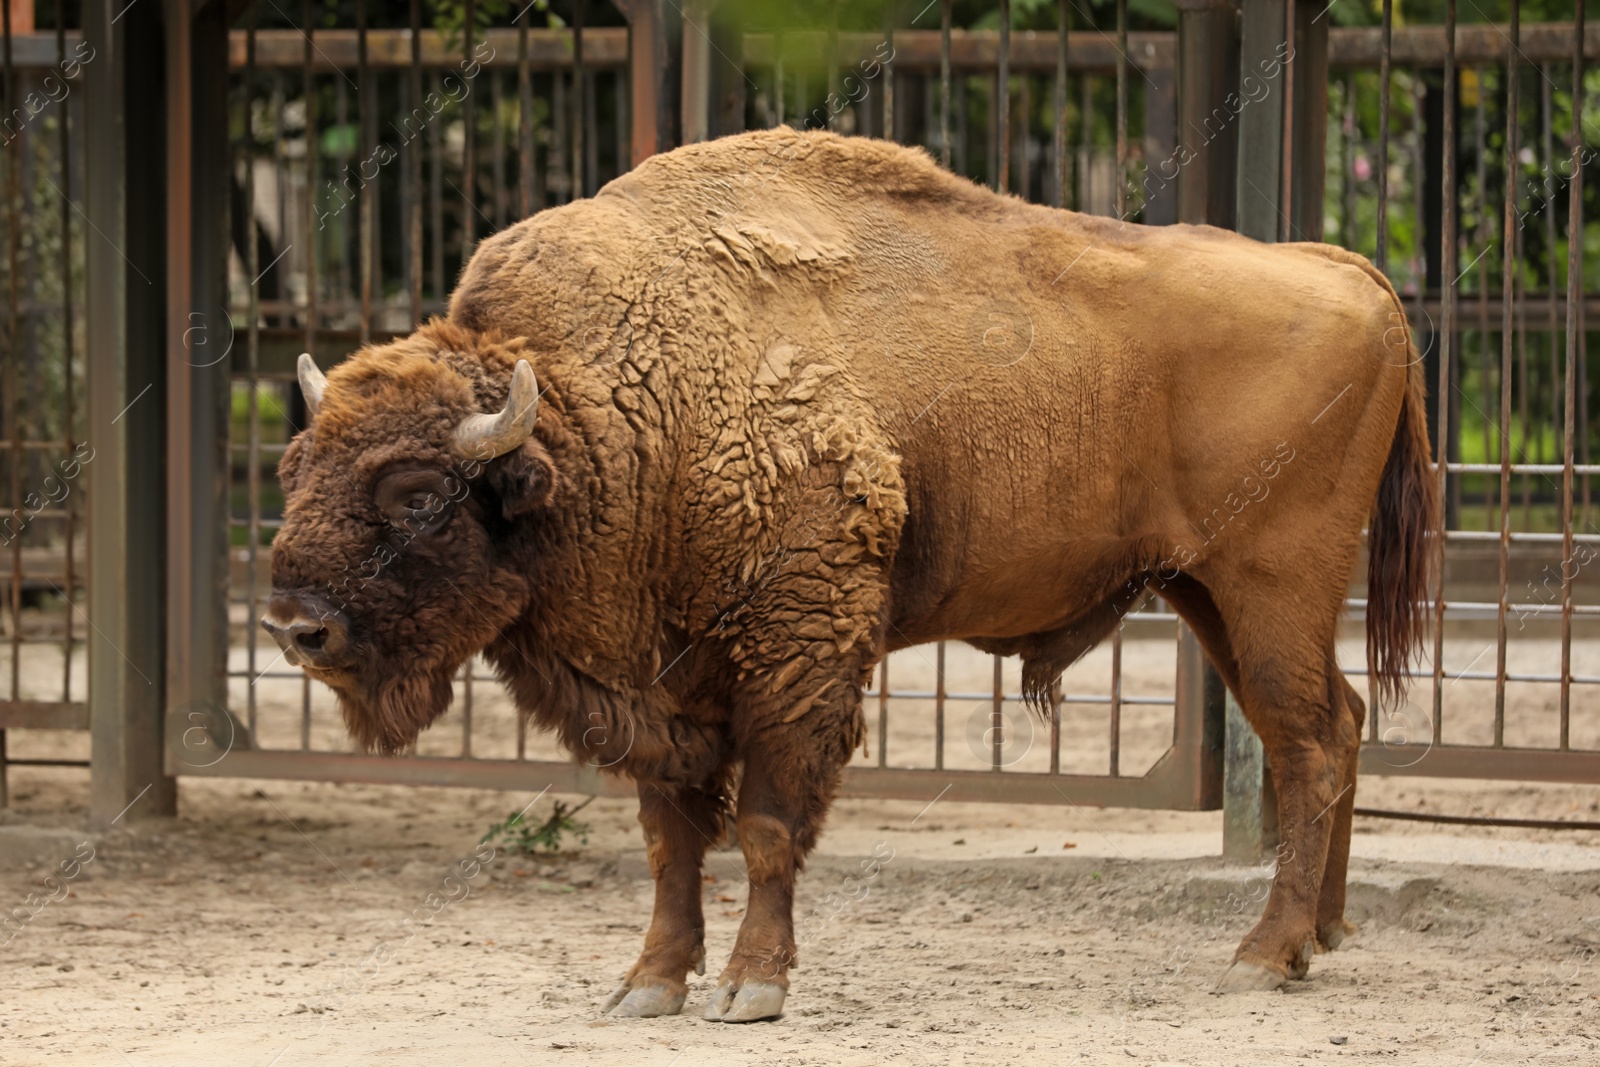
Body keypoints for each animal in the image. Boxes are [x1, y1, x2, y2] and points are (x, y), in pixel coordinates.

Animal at [262, 129, 1440, 1023]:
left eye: (419, 493)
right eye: (293, 468)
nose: (294, 627)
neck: (605, 415)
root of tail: (1346, 271)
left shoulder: (797, 650)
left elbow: (767, 822)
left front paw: (751, 987)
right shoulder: (662, 681)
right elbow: (670, 837)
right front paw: (648, 984)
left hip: (1269, 587)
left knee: (1308, 740)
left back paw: (1264, 953)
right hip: (1210, 598)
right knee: (1334, 726)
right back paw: (1323, 933)